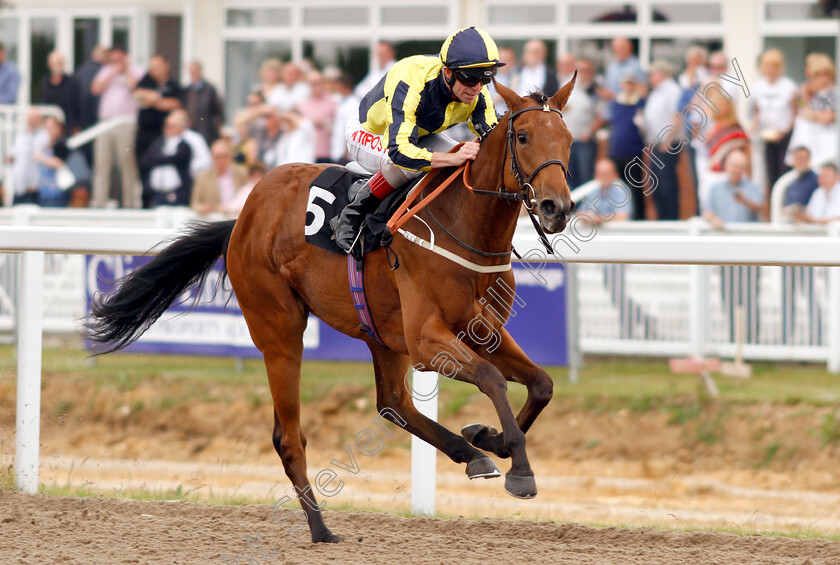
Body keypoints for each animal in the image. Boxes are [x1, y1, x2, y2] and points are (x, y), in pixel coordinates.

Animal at [88, 77, 580, 540]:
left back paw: (470, 454)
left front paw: (488, 438)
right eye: (523, 137)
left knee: (393, 404)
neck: (462, 227)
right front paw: (519, 468)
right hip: (280, 332)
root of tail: (245, 215)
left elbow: (541, 384)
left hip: (380, 333)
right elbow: (493, 379)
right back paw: (320, 528)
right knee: (289, 436)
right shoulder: (427, 341)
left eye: (569, 139)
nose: (556, 207)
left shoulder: (482, 330)